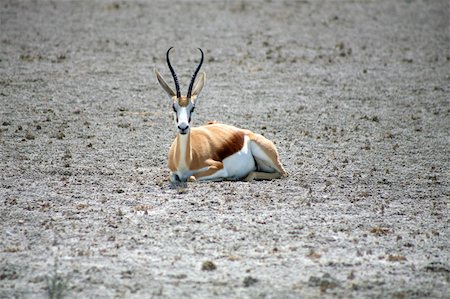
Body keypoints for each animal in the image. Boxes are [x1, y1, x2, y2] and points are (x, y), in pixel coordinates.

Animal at [156, 47, 288, 183]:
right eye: (173, 107)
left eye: (192, 108)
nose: (183, 127)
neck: (187, 161)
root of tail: (246, 132)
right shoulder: (173, 173)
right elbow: (173, 178)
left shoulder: (219, 167)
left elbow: (191, 177)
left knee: (282, 173)